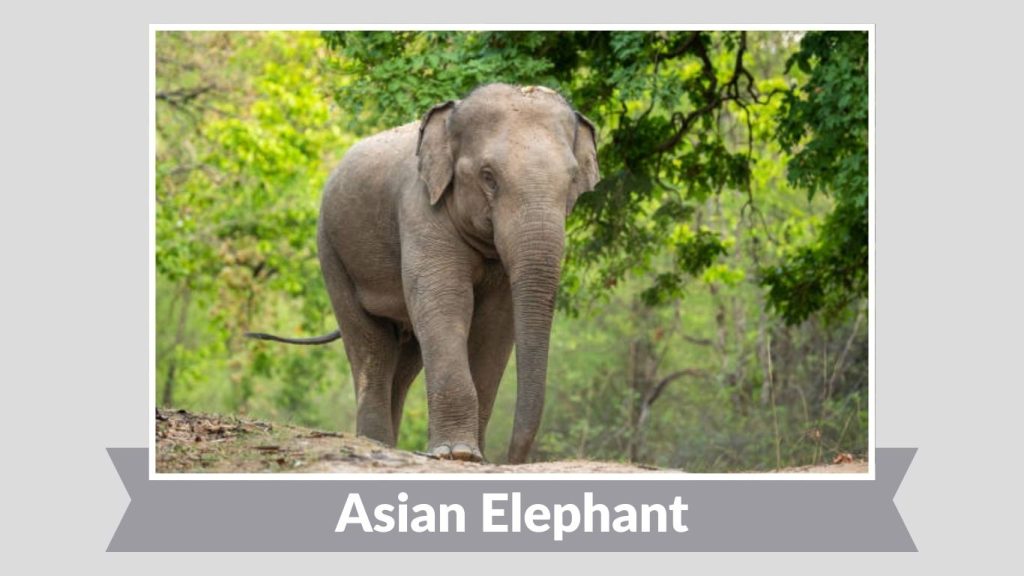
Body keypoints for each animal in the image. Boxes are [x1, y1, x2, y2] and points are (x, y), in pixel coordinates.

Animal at [247, 83, 600, 464]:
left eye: (572, 180)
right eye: (488, 177)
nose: (510, 460)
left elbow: (495, 323)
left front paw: (472, 457)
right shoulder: (419, 210)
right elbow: (446, 302)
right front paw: (457, 454)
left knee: (405, 360)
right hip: (331, 251)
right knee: (371, 346)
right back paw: (376, 443)